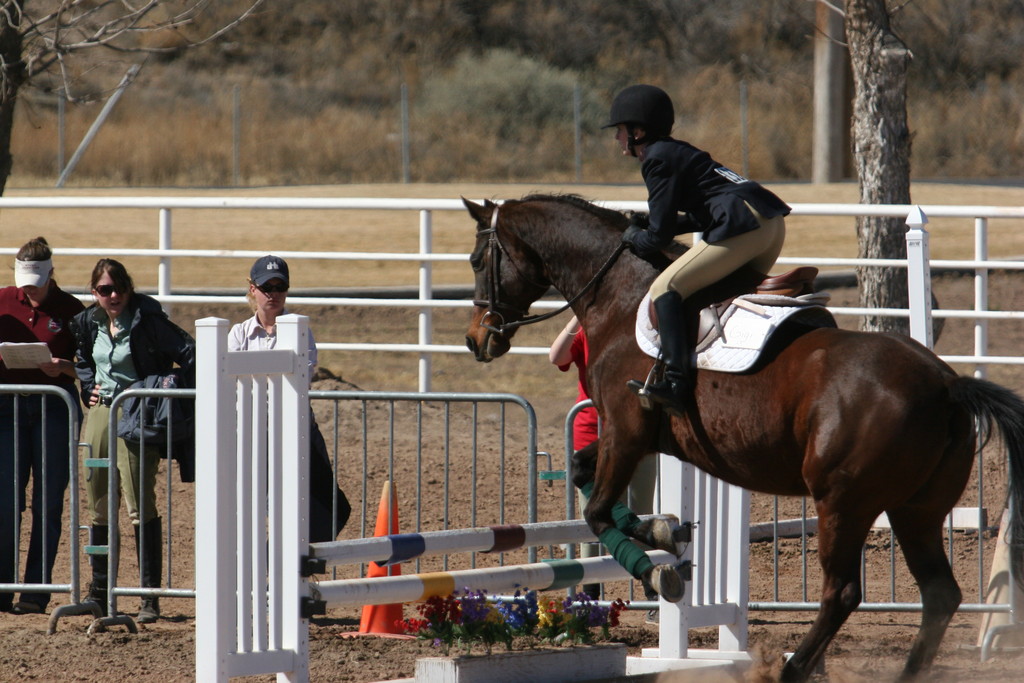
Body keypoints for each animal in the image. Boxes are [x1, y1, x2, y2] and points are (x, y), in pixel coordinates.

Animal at [464, 193, 1024, 683]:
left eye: (475, 260)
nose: (476, 339)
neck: (620, 298)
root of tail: (946, 383)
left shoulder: (626, 429)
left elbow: (597, 512)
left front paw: (657, 570)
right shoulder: (634, 436)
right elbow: (585, 474)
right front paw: (664, 531)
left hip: (844, 502)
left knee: (842, 592)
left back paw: (794, 669)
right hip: (917, 508)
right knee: (939, 594)